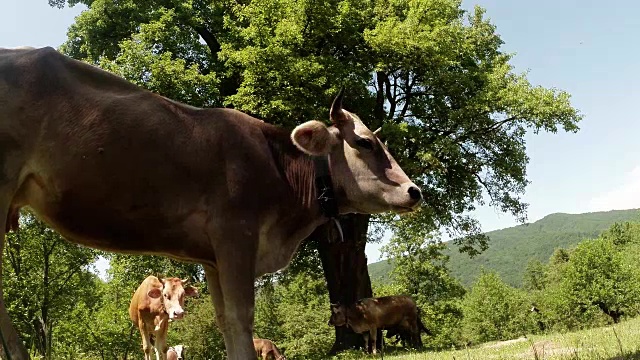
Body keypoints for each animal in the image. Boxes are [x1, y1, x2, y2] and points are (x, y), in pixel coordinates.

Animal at [0, 47, 422, 360]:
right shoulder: (236, 236)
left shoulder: (213, 257)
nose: (415, 191)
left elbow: (224, 322)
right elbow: (241, 318)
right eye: (365, 143)